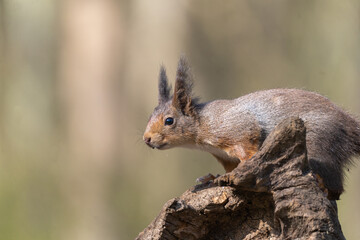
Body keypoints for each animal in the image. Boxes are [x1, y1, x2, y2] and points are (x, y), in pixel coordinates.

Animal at [144, 56, 360, 201]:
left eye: (169, 121)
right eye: (150, 116)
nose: (147, 139)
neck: (203, 122)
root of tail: (350, 127)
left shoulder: (238, 129)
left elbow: (248, 151)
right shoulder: (224, 156)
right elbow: (230, 167)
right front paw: (212, 177)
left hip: (319, 144)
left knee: (335, 184)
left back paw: (325, 187)